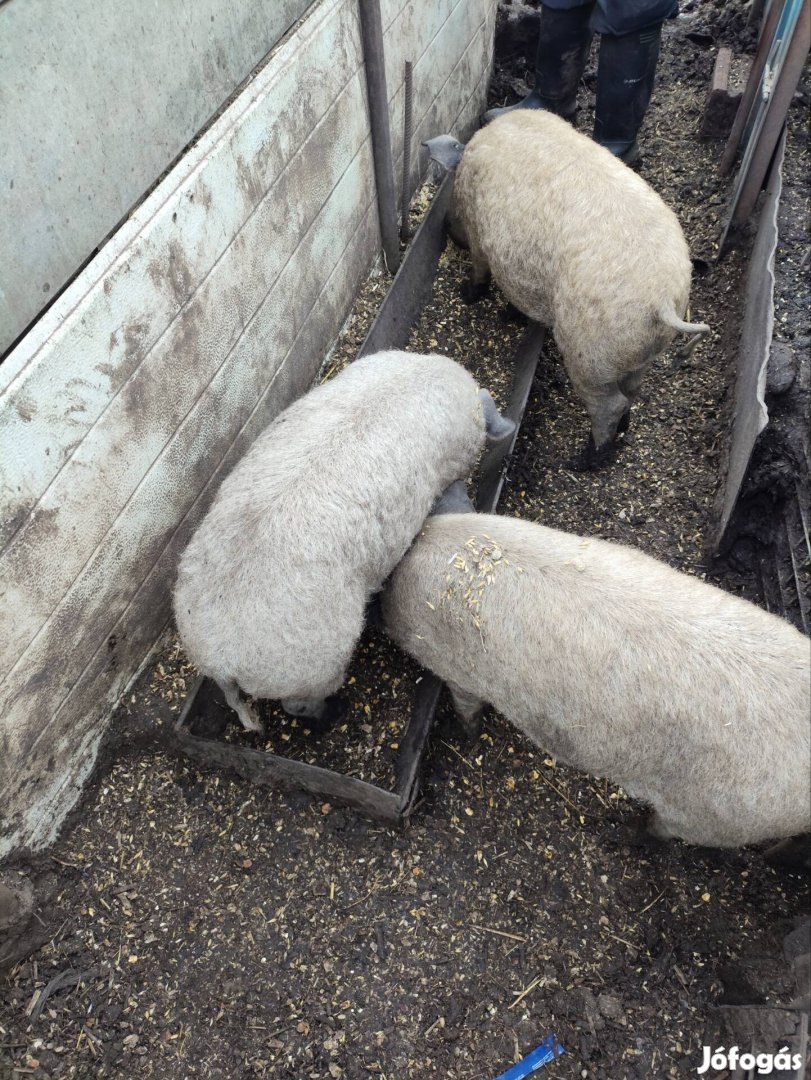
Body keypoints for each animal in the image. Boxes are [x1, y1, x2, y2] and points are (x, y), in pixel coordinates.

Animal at [382, 509, 811, 846]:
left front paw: (463, 735)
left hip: (717, 817)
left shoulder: (458, 669)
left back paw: (622, 833)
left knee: (666, 830)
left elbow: (466, 708)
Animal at [425, 111, 708, 470]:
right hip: (640, 355)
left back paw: (583, 461)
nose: (446, 227)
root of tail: (663, 303)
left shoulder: (480, 237)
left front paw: (468, 294)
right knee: (632, 391)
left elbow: (481, 270)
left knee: (609, 404)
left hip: (589, 354)